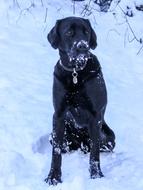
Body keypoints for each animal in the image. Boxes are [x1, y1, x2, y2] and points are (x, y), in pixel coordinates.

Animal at [45, 16, 115, 186]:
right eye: (69, 32)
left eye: (86, 32)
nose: (83, 46)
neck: (75, 73)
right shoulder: (58, 114)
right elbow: (56, 151)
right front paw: (54, 177)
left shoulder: (96, 116)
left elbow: (95, 152)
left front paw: (96, 176)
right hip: (53, 135)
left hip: (110, 137)